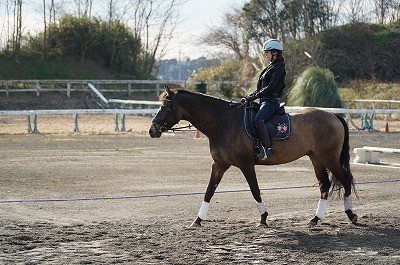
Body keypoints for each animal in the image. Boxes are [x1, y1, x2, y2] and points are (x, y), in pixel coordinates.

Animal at [148, 87, 358, 227]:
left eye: (166, 106)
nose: (152, 130)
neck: (223, 123)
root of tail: (334, 116)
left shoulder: (246, 165)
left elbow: (255, 190)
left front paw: (264, 218)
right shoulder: (219, 165)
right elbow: (209, 191)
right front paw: (198, 220)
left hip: (329, 157)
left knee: (345, 180)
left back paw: (351, 215)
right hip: (316, 158)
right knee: (324, 185)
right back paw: (315, 219)